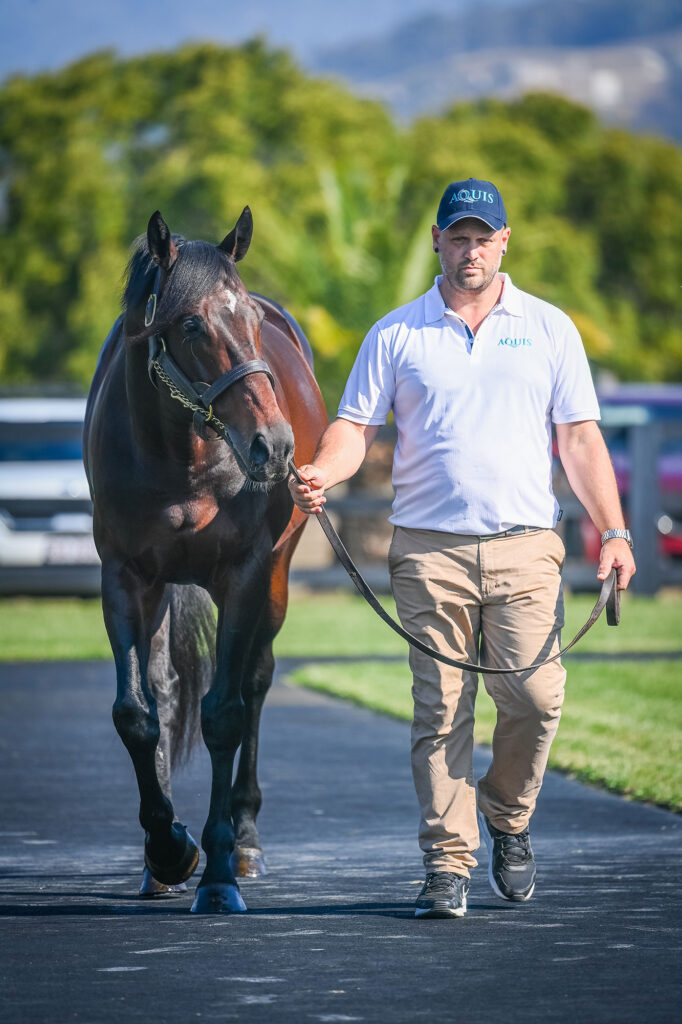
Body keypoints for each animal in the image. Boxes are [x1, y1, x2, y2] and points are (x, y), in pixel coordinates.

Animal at [83, 207, 327, 913]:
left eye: (250, 321)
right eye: (190, 324)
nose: (275, 446)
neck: (181, 455)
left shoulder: (244, 576)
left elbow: (225, 714)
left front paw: (217, 870)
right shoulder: (125, 577)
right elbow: (138, 713)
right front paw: (168, 850)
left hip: (274, 582)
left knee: (255, 683)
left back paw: (244, 842)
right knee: (165, 691)